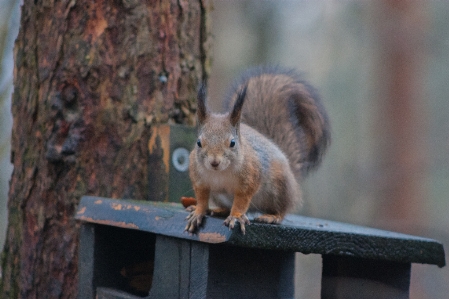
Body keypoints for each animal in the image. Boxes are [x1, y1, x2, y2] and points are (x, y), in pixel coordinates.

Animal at [183, 67, 328, 236]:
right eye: (199, 143)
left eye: (232, 143)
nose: (214, 162)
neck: (220, 173)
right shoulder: (199, 179)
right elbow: (201, 198)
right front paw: (198, 212)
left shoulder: (250, 178)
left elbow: (241, 201)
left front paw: (236, 216)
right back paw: (217, 210)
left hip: (281, 188)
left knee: (283, 208)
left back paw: (272, 216)